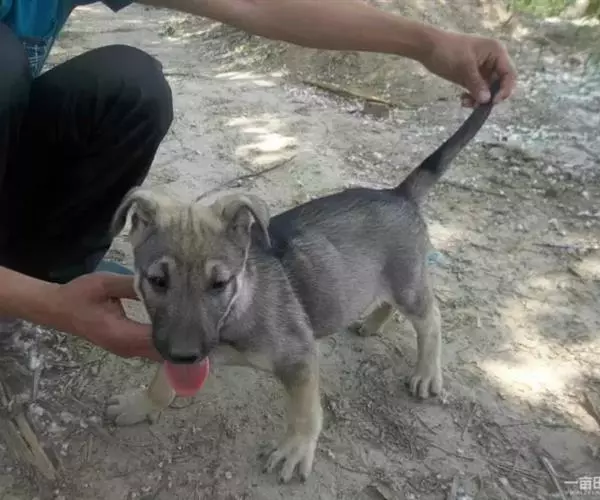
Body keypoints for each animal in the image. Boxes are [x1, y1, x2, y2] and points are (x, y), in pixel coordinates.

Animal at [106, 81, 501, 483]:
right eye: (157, 280)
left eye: (219, 283)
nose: (185, 353)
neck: (238, 307)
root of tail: (398, 194)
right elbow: (162, 380)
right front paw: (142, 403)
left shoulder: (299, 357)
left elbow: (305, 411)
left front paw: (296, 449)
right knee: (388, 301)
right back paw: (372, 324)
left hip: (408, 282)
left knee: (431, 320)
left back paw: (426, 372)